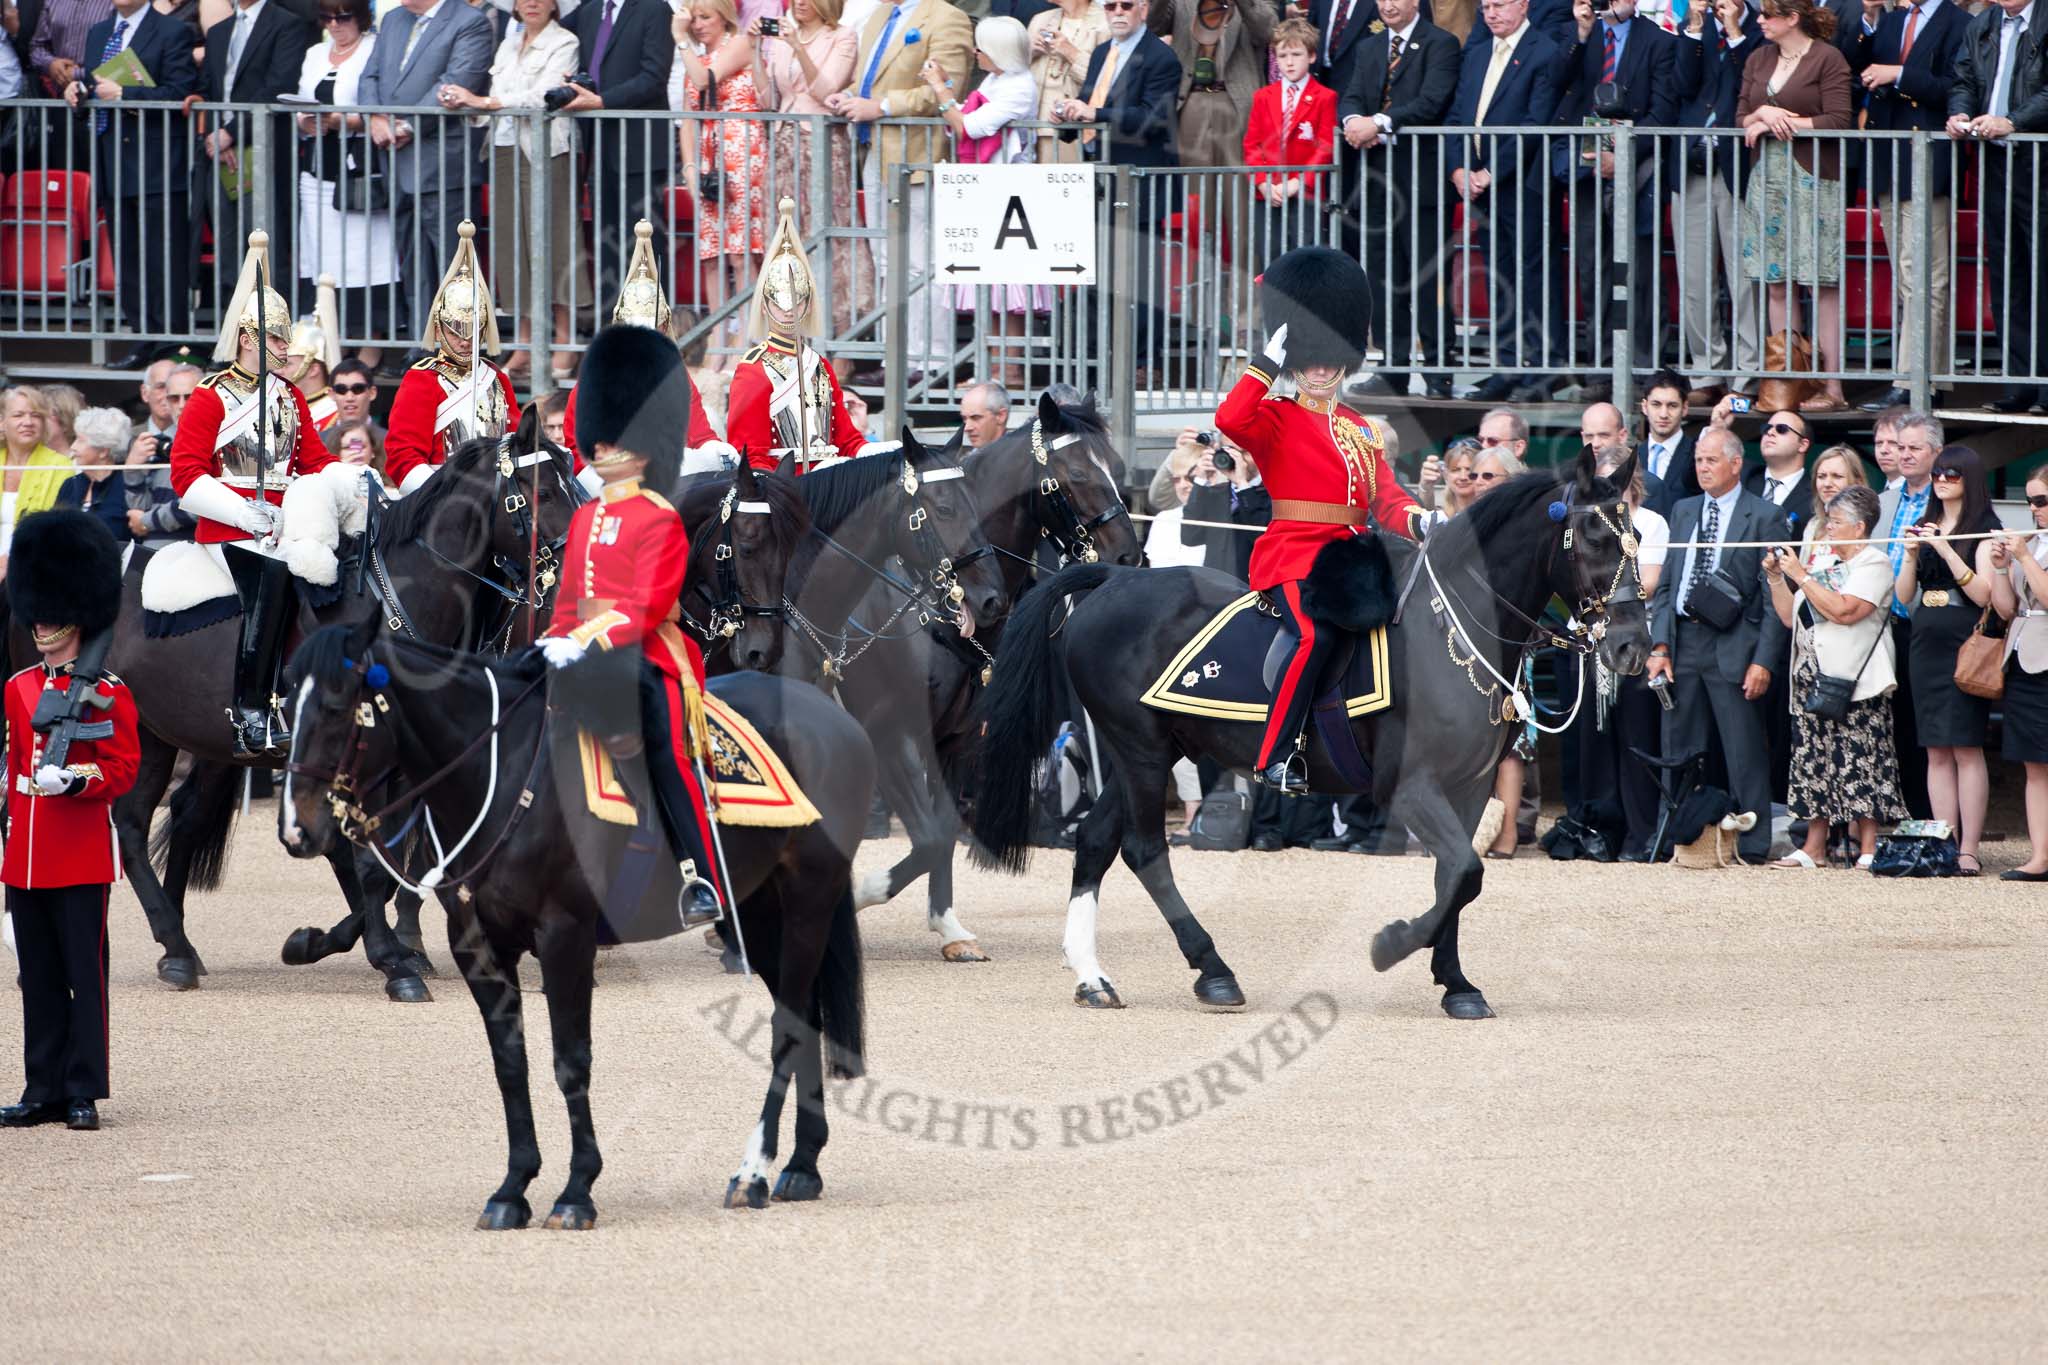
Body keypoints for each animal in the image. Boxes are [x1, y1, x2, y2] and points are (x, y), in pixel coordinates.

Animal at [278, 626, 872, 1236]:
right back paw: (802, 1165)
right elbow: (510, 1064)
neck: (501, 773)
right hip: (756, 912)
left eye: (334, 708)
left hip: (807, 901)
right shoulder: (478, 945)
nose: (297, 830)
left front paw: (576, 1190)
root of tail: (831, 713)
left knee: (787, 1029)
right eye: (286, 701)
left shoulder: (565, 937)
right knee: (805, 1016)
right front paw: (513, 1188)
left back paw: (754, 1172)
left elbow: (570, 1060)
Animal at [966, 454, 1654, 1019]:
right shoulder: (1409, 787)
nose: (1632, 647)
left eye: (1640, 536)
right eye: (1595, 536)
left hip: (1157, 748)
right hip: (1139, 751)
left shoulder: (1468, 787)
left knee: (1094, 841)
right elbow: (1462, 871)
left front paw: (1456, 983)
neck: (1451, 628)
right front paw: (1392, 945)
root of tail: (1113, 579)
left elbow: (1458, 876)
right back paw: (1213, 971)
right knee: (1142, 849)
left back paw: (1093, 977)